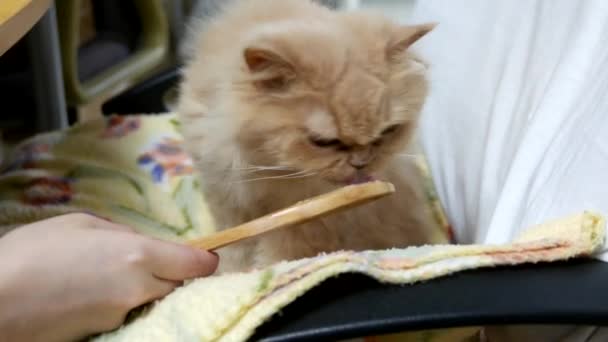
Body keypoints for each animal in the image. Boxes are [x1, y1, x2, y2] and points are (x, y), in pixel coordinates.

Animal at [178, 0, 440, 272]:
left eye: (387, 132)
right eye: (324, 142)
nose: (361, 163)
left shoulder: (312, 223)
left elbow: (281, 254)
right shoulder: (227, 198)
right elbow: (235, 245)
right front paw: (232, 272)